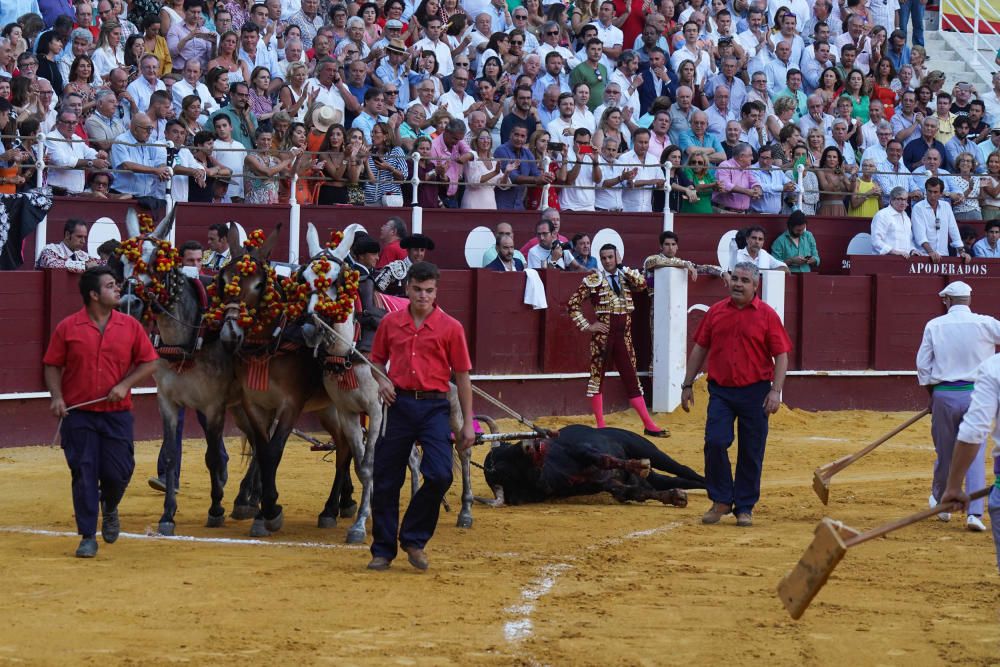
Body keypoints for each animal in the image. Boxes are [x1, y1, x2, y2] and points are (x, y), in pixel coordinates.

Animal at [480, 428, 708, 506]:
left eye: (509, 446)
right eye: (503, 471)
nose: (530, 444)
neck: (548, 472)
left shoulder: (580, 451)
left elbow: (603, 459)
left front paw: (638, 464)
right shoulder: (605, 484)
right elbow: (635, 492)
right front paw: (675, 497)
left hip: (643, 446)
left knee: (684, 469)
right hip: (654, 477)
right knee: (678, 480)